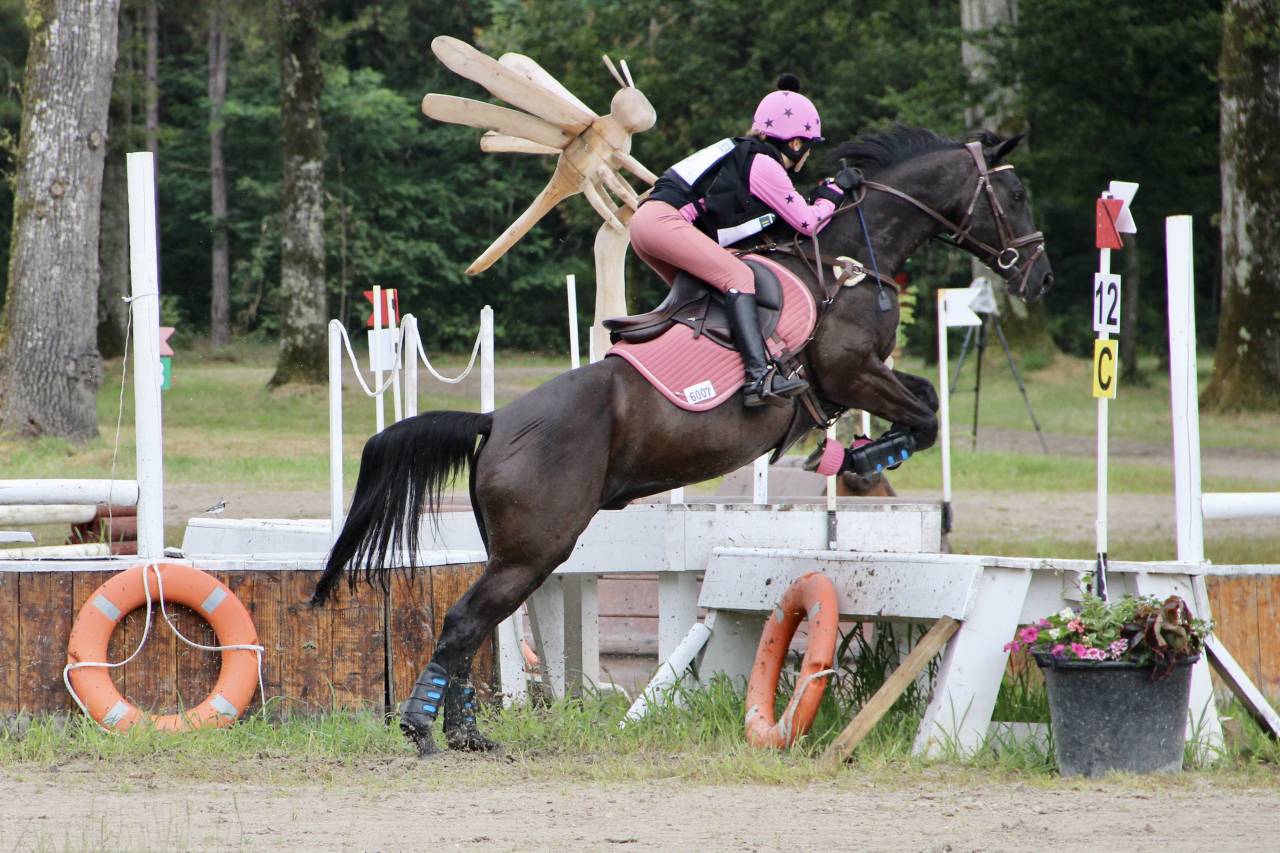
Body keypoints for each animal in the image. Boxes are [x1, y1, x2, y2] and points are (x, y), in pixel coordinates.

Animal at [311, 127, 1054, 755]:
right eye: (1015, 194)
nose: (1039, 278)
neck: (844, 262)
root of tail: (495, 420)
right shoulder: (852, 373)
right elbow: (924, 415)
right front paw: (867, 455)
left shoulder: (866, 378)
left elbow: (926, 400)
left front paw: (859, 454)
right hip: (535, 549)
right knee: (465, 622)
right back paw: (423, 729)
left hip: (513, 551)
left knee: (477, 627)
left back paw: (467, 734)